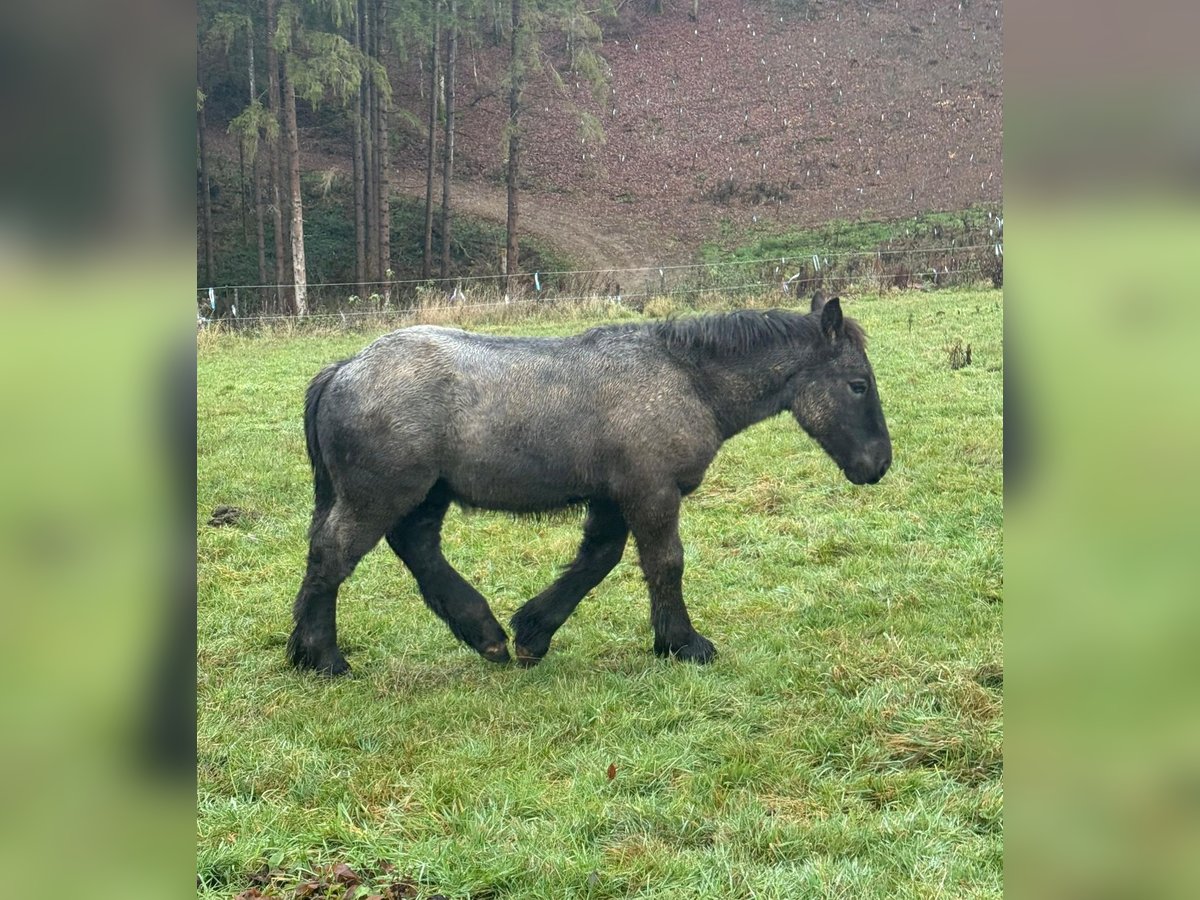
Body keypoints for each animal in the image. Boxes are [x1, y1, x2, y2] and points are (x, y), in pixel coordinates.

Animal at [287, 294, 891, 675]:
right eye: (858, 384)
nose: (879, 463)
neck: (686, 378)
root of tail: (346, 367)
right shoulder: (652, 493)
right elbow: (665, 564)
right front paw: (684, 644)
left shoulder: (614, 497)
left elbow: (595, 560)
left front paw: (533, 632)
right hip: (378, 498)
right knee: (332, 556)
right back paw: (322, 657)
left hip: (423, 497)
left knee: (414, 550)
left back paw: (482, 634)